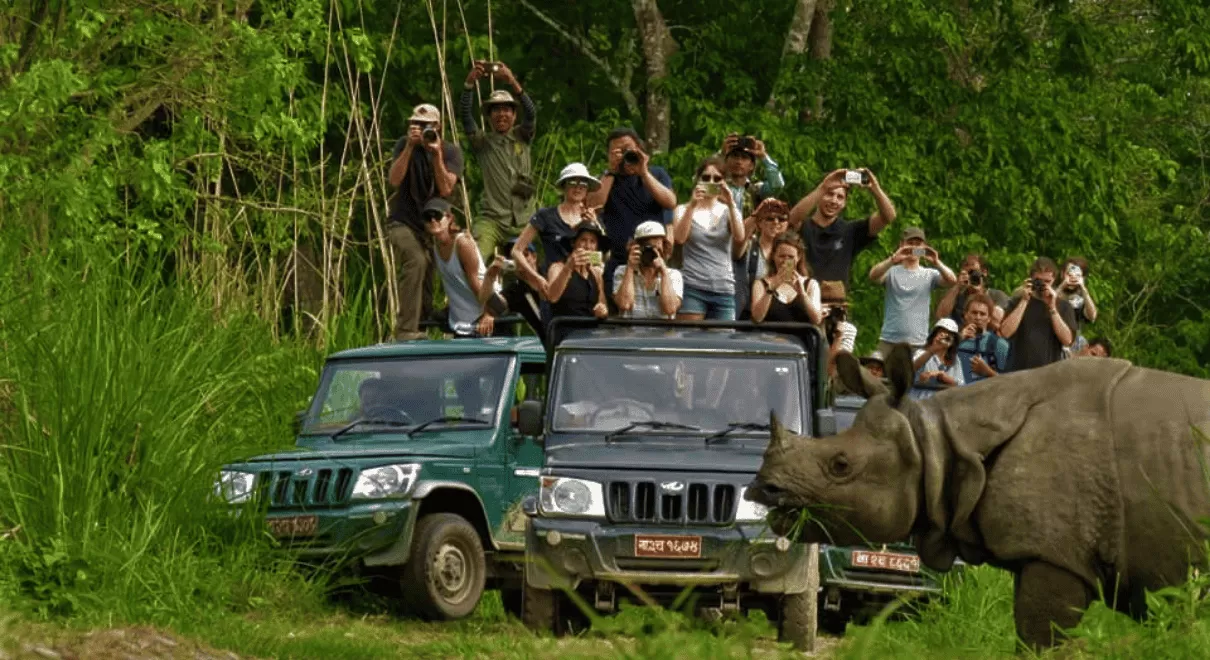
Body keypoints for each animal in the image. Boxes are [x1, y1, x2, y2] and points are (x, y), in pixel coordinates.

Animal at [745, 344, 1210, 649]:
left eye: (840, 464)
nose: (763, 487)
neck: (937, 442)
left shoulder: (1057, 556)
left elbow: (1040, 638)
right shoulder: (1039, 549)